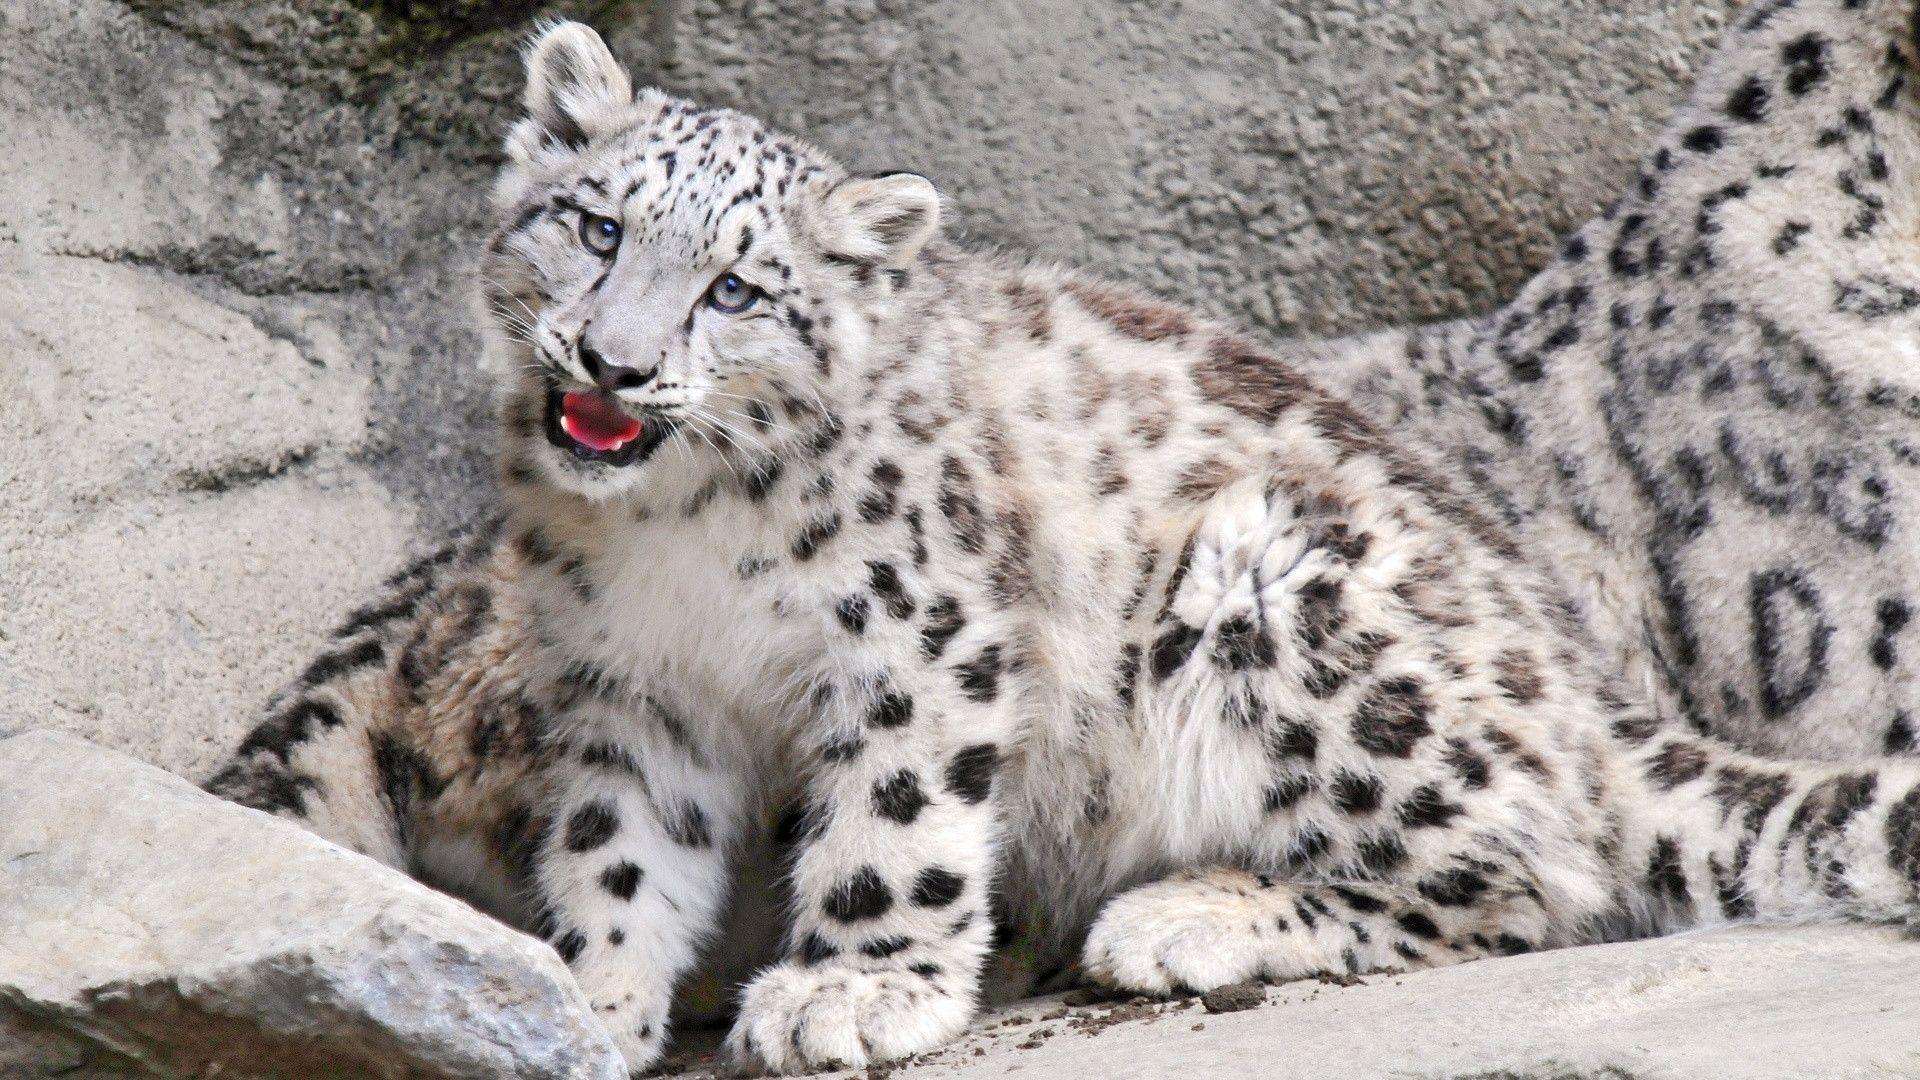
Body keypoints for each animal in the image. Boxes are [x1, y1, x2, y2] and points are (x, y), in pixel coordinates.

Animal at [209, 8, 1920, 1075]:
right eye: (598, 225)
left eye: (738, 289)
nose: (613, 367)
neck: (679, 541)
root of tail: (1580, 691)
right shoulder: (635, 690)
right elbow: (625, 849)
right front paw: (590, 1002)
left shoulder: (919, 632)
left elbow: (895, 820)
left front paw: (849, 994)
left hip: (1285, 587)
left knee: (1526, 877)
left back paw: (1186, 918)